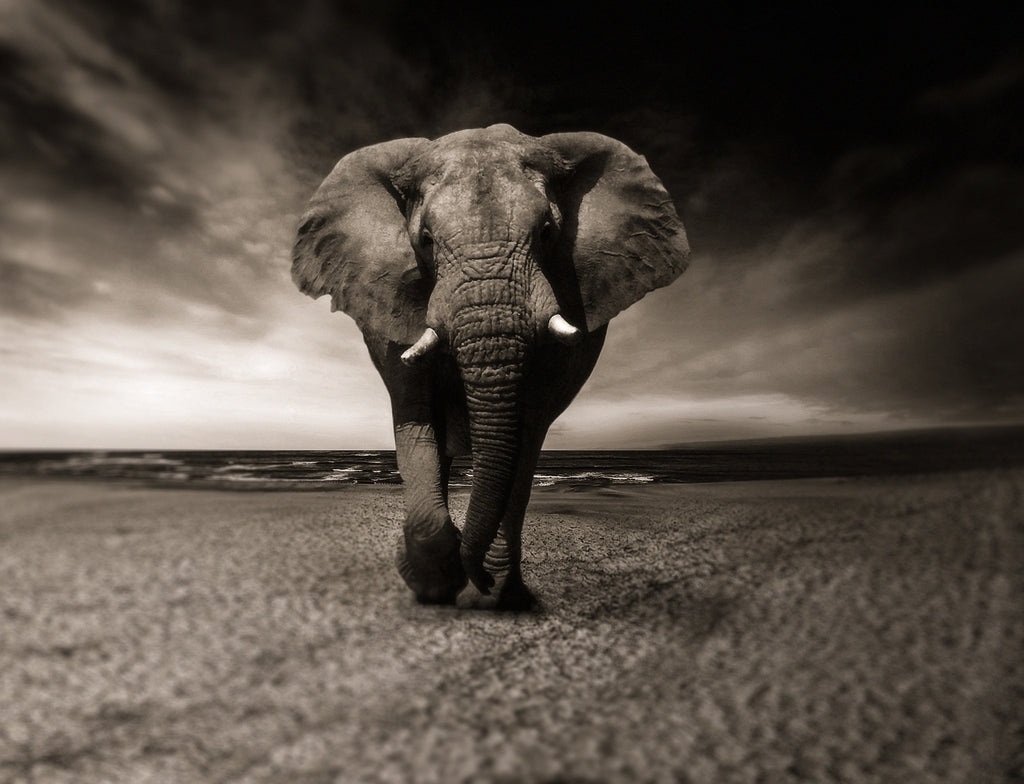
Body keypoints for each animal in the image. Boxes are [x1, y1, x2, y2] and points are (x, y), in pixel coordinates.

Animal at [292, 123, 689, 609]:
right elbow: (416, 417)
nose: (476, 575)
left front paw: (490, 591)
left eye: (547, 232)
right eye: (425, 240)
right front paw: (435, 583)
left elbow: (526, 431)